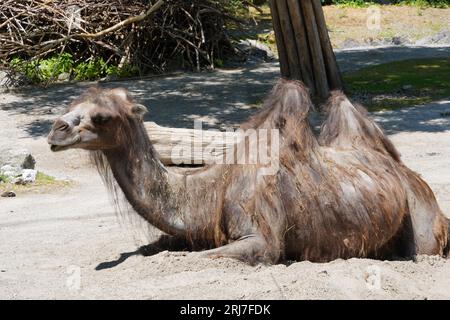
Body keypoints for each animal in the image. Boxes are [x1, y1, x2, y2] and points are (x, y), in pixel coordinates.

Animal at [47, 79, 448, 264]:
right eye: (71, 105)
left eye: (102, 117)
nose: (56, 130)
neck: (212, 189)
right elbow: (156, 248)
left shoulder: (256, 225)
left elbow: (211, 257)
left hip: (421, 212)